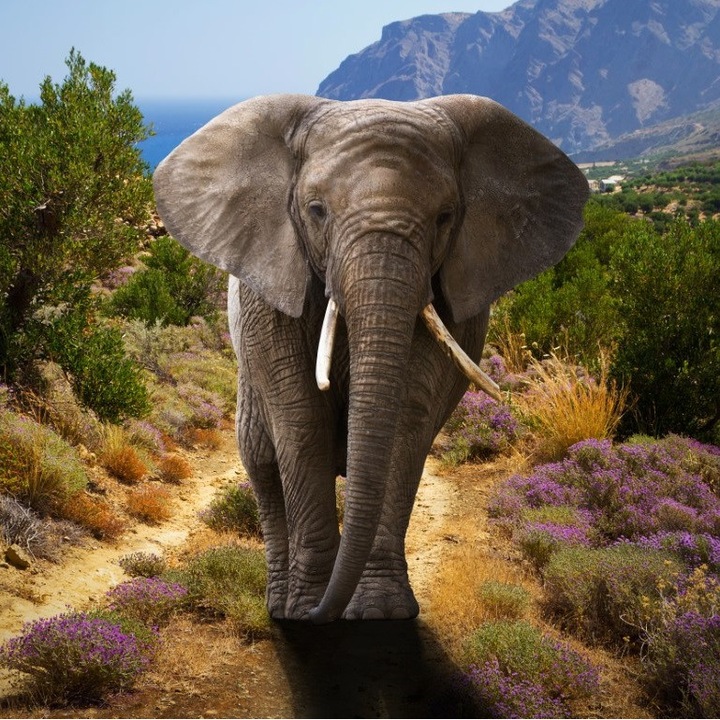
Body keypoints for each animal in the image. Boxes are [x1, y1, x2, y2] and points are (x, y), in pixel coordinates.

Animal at [153, 93, 588, 623]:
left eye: (445, 216)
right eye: (316, 210)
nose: (322, 614)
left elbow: (406, 420)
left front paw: (381, 612)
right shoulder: (268, 292)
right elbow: (301, 420)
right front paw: (307, 610)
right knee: (261, 460)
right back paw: (280, 606)